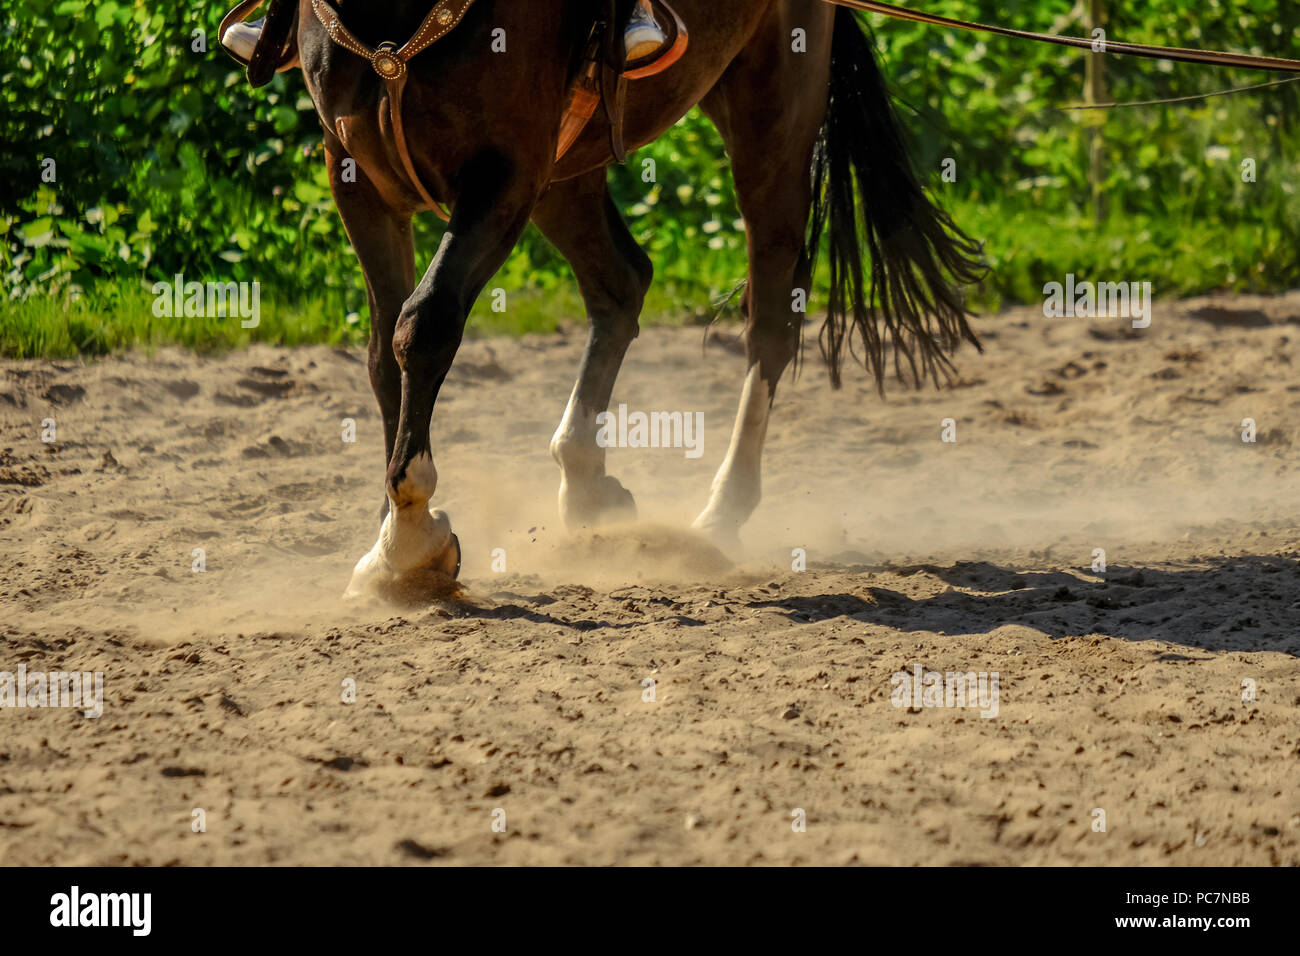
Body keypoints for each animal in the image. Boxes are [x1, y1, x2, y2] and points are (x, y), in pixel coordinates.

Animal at [276, 0, 982, 598]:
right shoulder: (357, 176)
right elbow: (381, 355)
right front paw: (389, 542)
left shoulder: (504, 174)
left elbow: (423, 325)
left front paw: (408, 540)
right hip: (567, 168)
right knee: (621, 282)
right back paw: (586, 478)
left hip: (772, 110)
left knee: (769, 323)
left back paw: (720, 513)